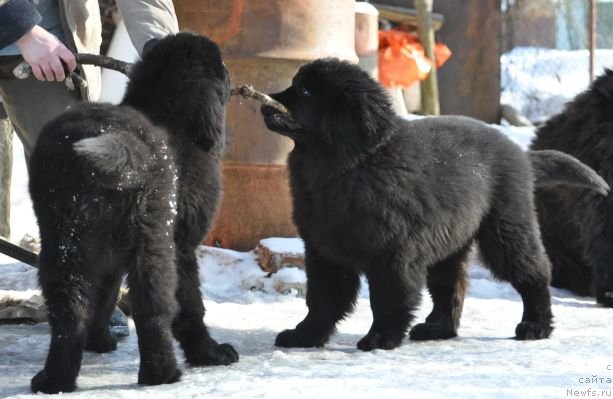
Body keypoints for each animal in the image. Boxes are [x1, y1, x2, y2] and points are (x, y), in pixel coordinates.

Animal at [29, 32, 239, 396]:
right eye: (221, 67)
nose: (232, 74)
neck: (169, 113)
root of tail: (117, 141)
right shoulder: (182, 246)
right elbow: (191, 304)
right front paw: (209, 353)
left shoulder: (108, 256)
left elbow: (105, 296)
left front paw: (98, 341)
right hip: (152, 240)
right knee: (152, 307)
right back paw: (162, 373)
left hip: (64, 239)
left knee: (71, 308)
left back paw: (55, 379)